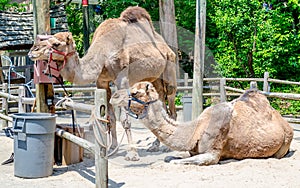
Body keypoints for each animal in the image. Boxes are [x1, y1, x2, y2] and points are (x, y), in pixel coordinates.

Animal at [27, 6, 177, 161]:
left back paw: (167, 146)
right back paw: (155, 145)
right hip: (155, 78)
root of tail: (167, 47)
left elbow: (124, 119)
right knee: (160, 102)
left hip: (170, 68)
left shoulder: (122, 79)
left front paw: (132, 154)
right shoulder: (102, 82)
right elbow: (111, 117)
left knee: (172, 103)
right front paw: (112, 148)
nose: (33, 50)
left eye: (56, 44)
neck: (103, 54)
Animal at [109, 81, 292, 165]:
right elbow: (170, 157)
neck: (195, 130)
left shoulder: (212, 153)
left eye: (135, 92)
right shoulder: (192, 151)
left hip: (286, 140)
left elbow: (176, 161)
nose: (113, 96)